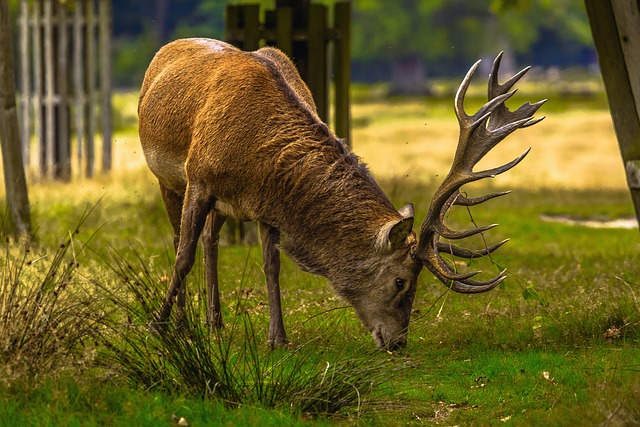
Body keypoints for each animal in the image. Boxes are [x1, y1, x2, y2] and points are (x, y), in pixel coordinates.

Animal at [138, 37, 544, 352]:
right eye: (401, 281)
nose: (399, 342)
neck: (256, 155)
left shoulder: (266, 205)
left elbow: (272, 266)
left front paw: (278, 338)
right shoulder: (200, 179)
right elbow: (182, 256)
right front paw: (157, 325)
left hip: (222, 205)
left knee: (210, 240)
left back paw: (215, 322)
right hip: (167, 178)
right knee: (181, 239)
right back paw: (183, 324)